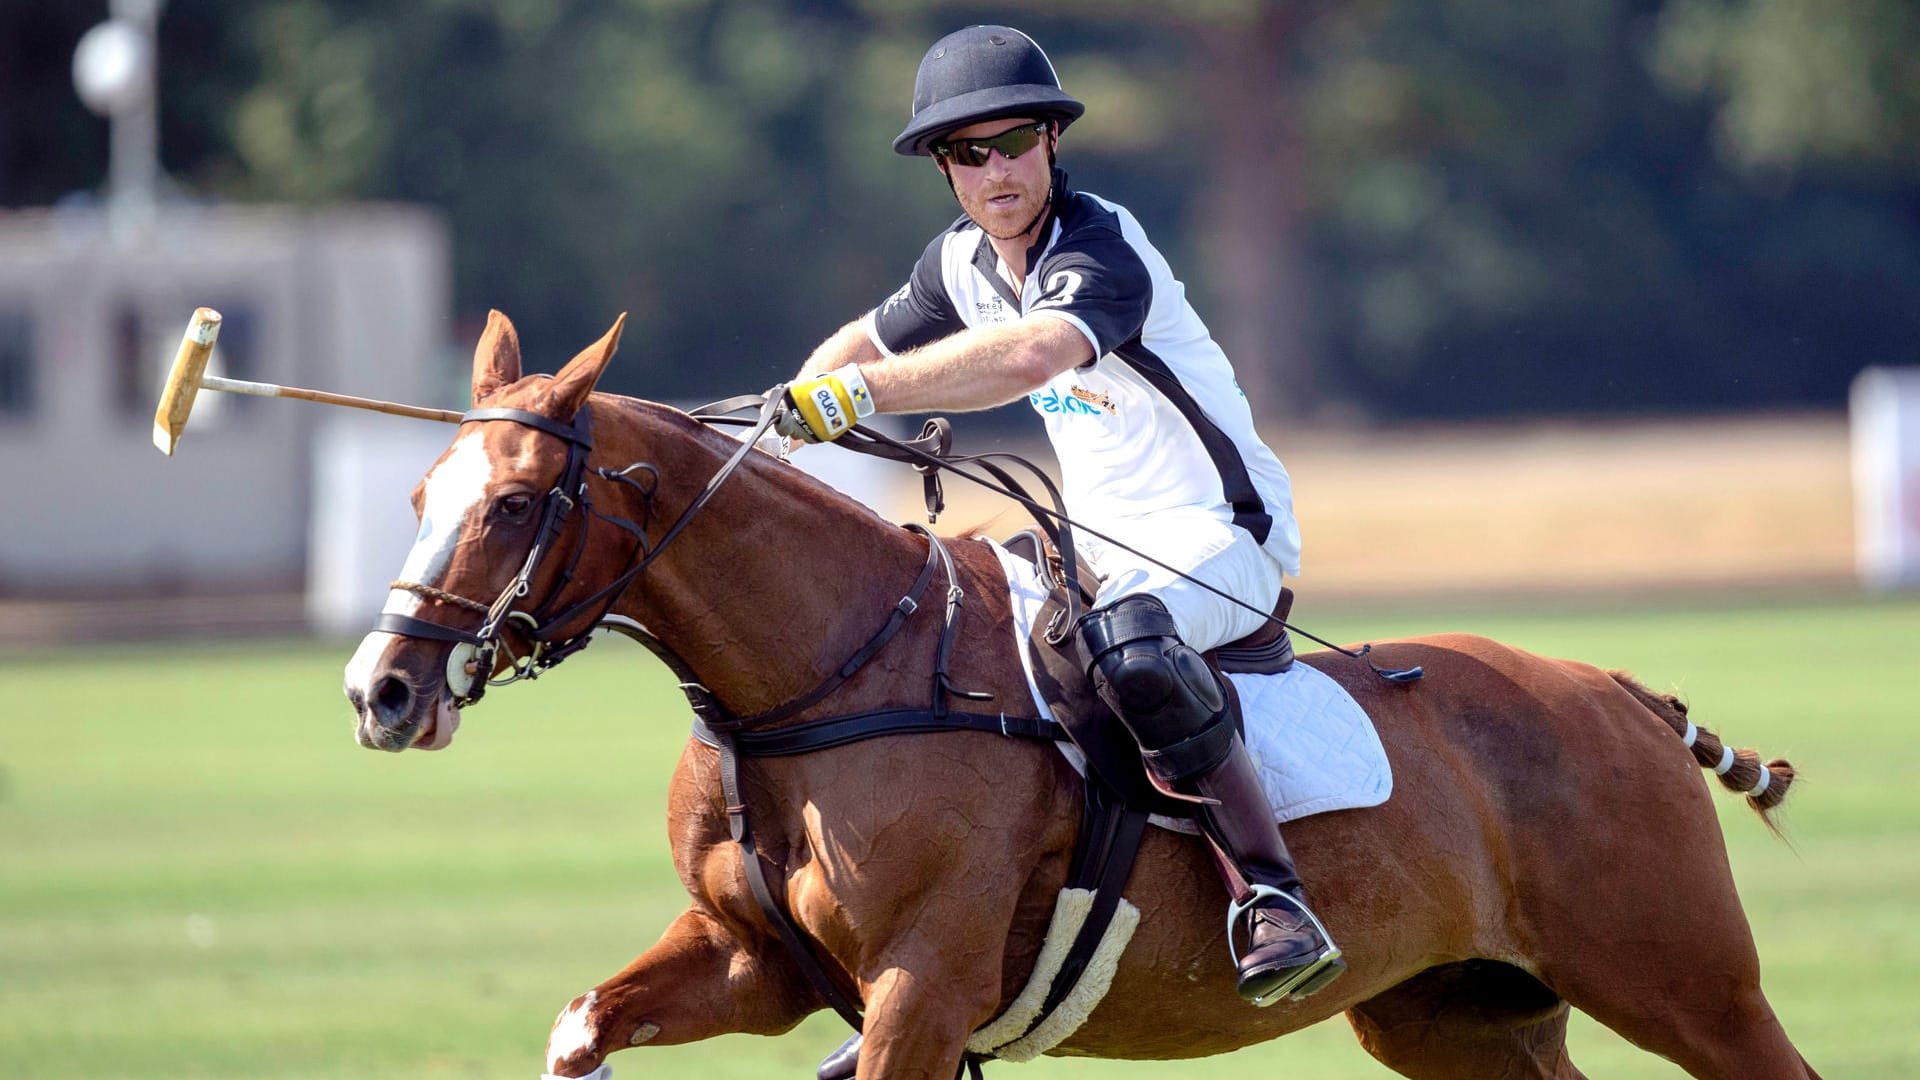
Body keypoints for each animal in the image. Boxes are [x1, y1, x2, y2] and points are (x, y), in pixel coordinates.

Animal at [341, 315, 1812, 1076]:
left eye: (518, 503)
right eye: (417, 494)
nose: (381, 691)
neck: (821, 677)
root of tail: (1616, 691)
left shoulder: (922, 984)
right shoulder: (752, 961)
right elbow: (583, 1024)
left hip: (1687, 984)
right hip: (1457, 1017)